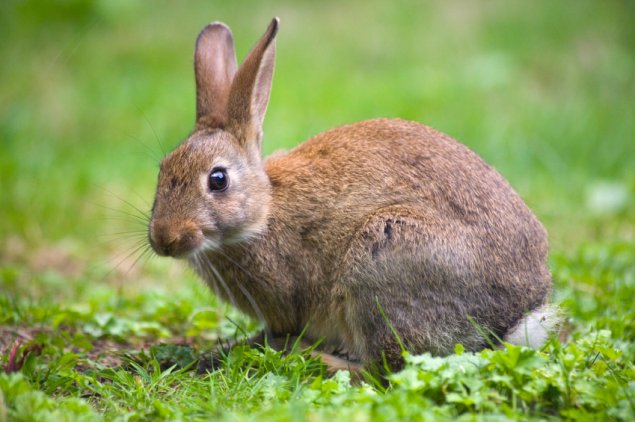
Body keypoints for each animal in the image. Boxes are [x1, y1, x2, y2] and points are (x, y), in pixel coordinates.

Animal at [148, 18, 560, 376]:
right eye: (162, 171)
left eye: (217, 180)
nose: (164, 239)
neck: (264, 210)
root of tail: (514, 315)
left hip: (383, 257)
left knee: (384, 367)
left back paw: (313, 357)